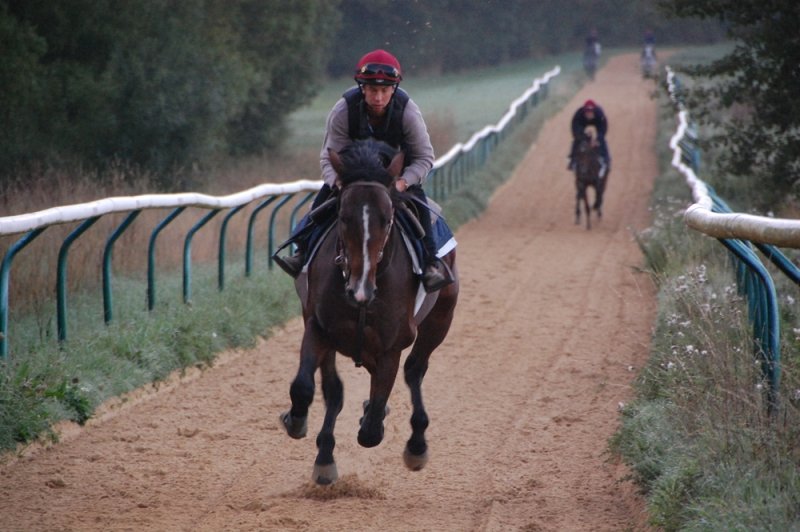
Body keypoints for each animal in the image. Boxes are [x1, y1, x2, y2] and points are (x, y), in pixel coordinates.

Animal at [279, 139, 459, 485]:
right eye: (342, 215)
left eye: (387, 218)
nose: (359, 290)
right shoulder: (318, 326)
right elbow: (307, 386)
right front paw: (299, 425)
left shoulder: (392, 345)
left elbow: (373, 426)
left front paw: (372, 421)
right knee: (336, 389)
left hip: (441, 318)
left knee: (414, 370)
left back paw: (416, 445)